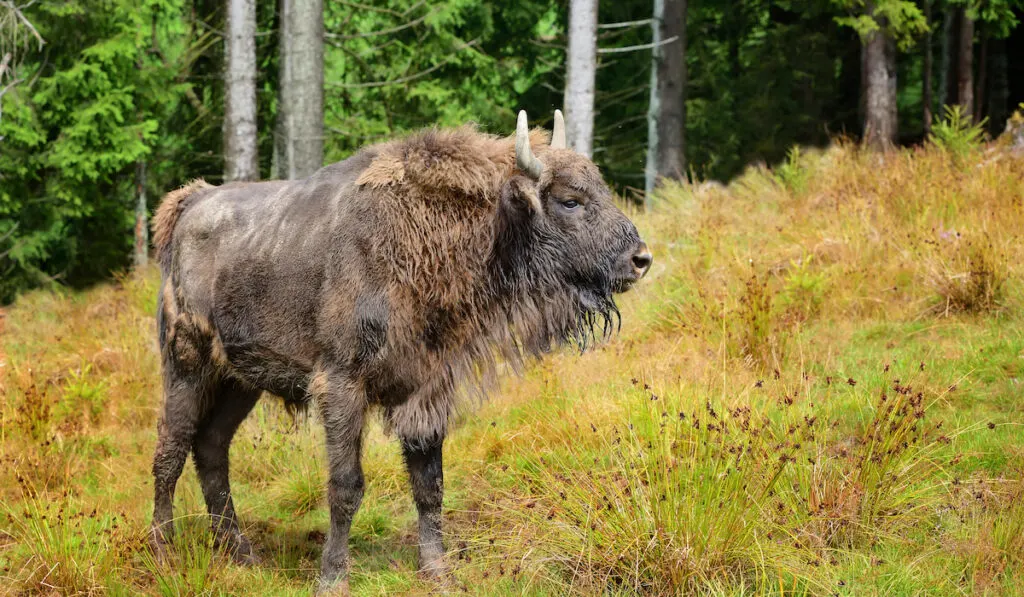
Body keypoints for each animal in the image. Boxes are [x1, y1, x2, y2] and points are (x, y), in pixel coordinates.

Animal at [149, 112, 651, 593]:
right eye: (570, 200)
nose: (640, 259)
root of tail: (190, 204)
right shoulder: (342, 385)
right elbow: (346, 486)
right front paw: (333, 578)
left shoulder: (427, 392)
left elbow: (430, 486)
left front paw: (439, 573)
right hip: (187, 365)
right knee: (172, 448)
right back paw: (164, 548)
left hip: (239, 381)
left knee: (212, 448)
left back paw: (241, 553)